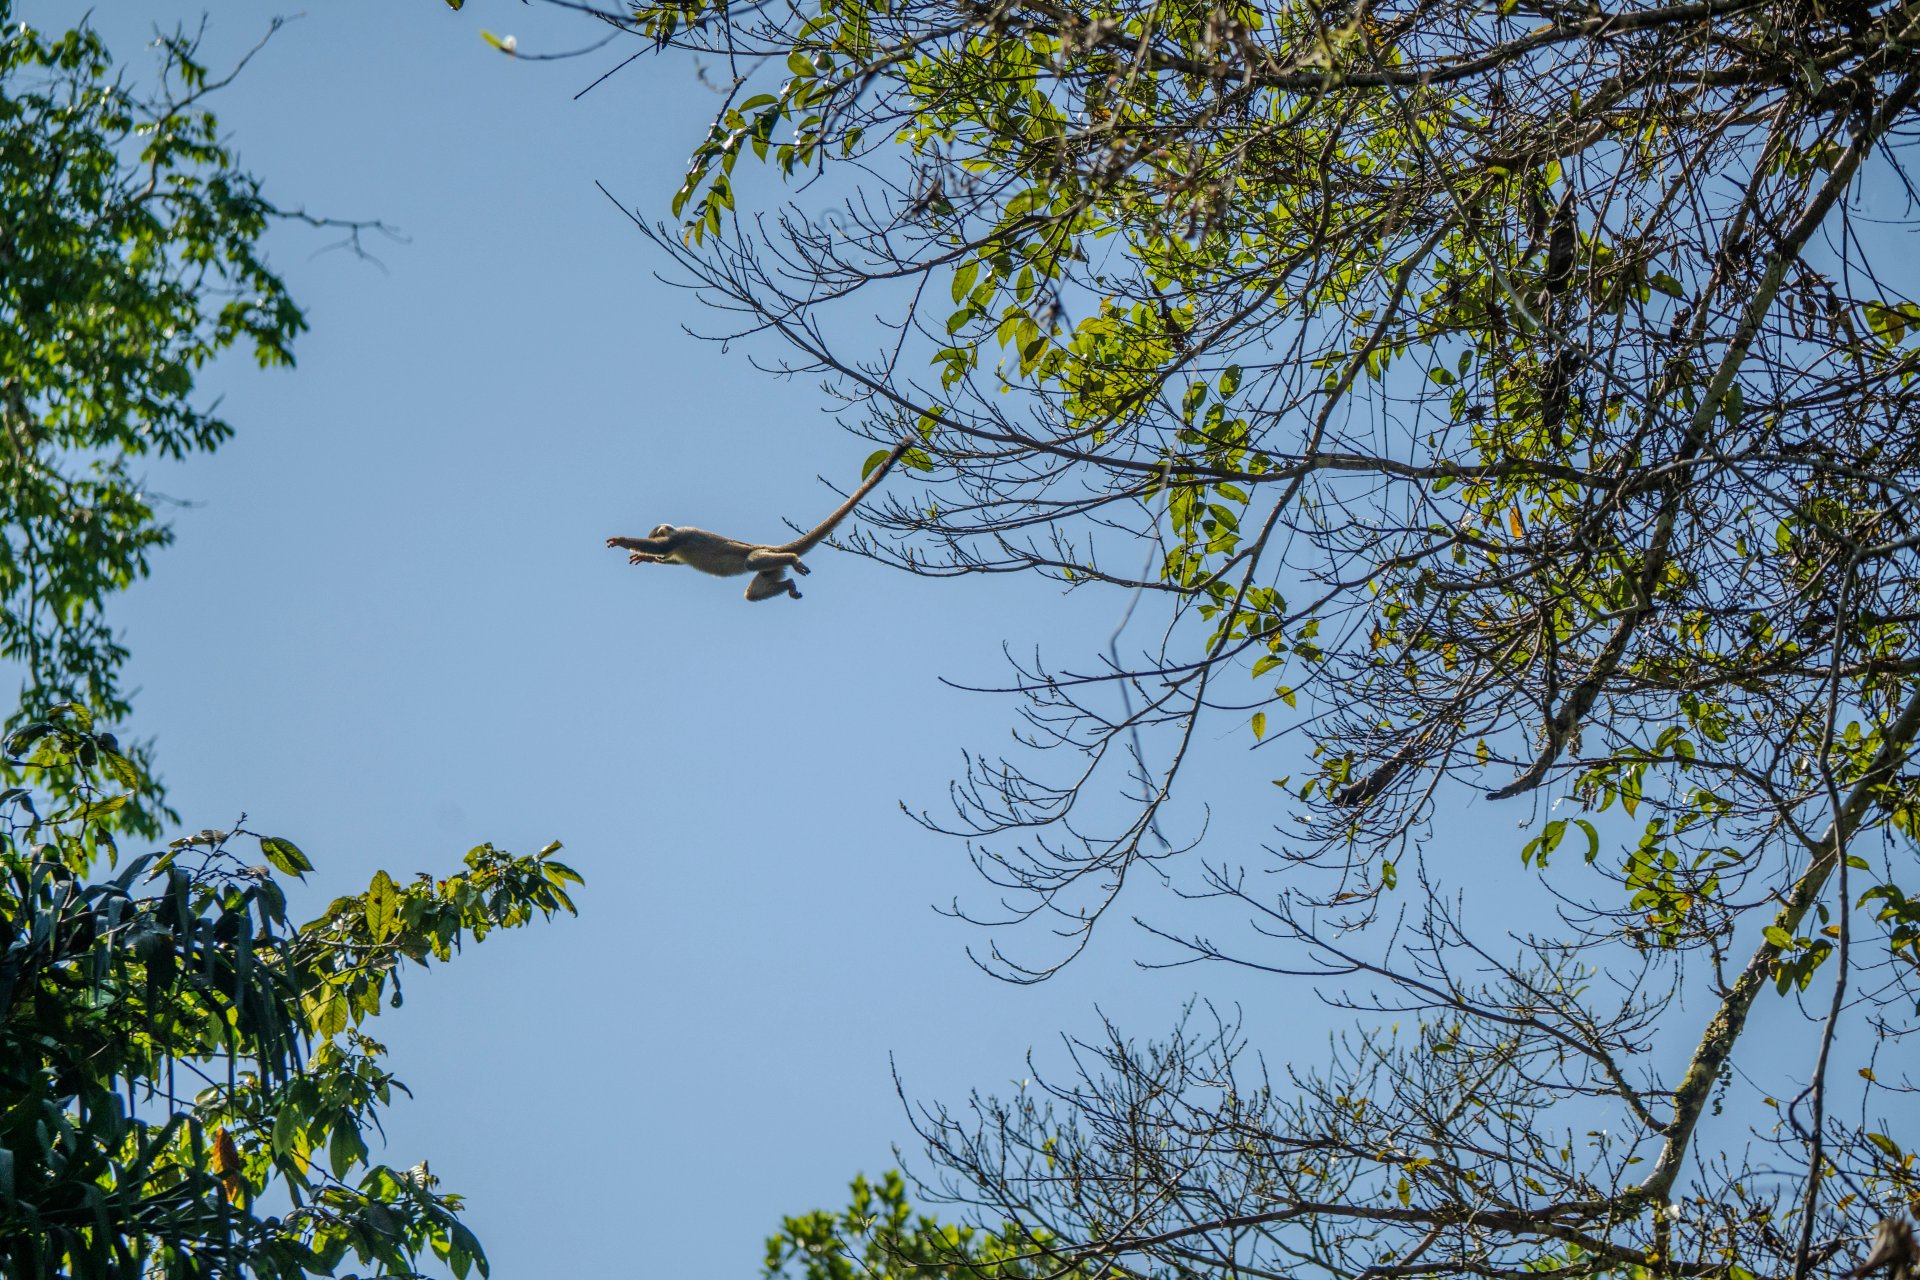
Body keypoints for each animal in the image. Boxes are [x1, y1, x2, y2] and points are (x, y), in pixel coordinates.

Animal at [606, 440, 911, 602]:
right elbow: (670, 557)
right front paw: (647, 558)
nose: (657, 536)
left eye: (656, 533)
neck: (676, 532)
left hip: (761, 554)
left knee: (752, 562)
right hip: (771, 569)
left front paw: (624, 542)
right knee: (754, 591)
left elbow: (664, 549)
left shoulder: (680, 535)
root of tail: (771, 547)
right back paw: (788, 584)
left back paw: (791, 559)